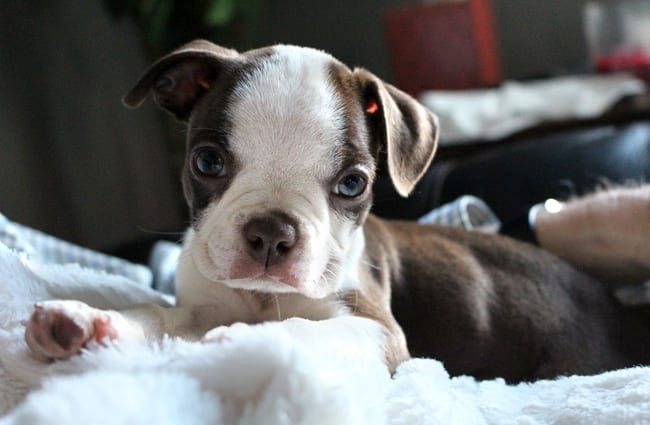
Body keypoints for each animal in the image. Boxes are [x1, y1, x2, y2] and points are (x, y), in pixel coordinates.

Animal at [22, 41, 644, 382]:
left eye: (352, 183)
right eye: (206, 161)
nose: (271, 233)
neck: (261, 298)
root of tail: (618, 309)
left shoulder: (376, 329)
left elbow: (306, 329)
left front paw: (254, 345)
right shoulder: (200, 307)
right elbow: (154, 315)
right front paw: (89, 323)